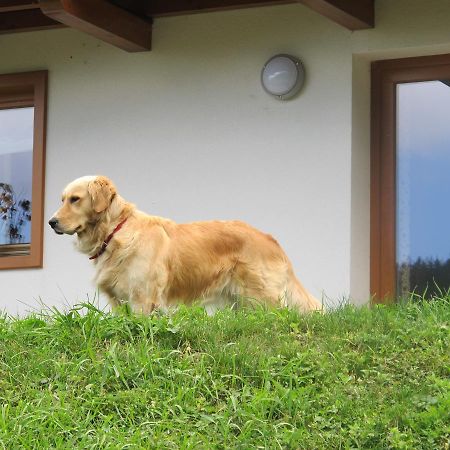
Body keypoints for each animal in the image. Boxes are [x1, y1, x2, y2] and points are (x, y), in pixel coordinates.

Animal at [49, 176, 322, 312]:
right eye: (62, 199)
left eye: (75, 199)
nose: (51, 222)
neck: (117, 230)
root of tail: (269, 238)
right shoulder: (118, 302)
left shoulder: (142, 299)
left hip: (263, 296)